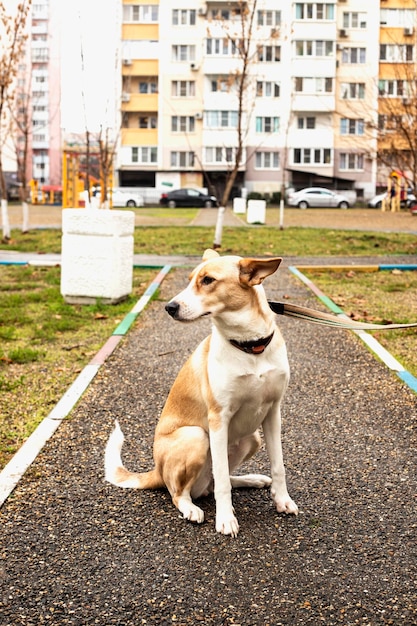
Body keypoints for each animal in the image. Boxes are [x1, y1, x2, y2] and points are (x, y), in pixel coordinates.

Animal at [105, 250, 300, 536]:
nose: (170, 307)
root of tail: (157, 471)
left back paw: (251, 479)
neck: (249, 347)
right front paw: (225, 519)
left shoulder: (273, 412)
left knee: (216, 480)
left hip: (253, 438)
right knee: (182, 492)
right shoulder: (218, 418)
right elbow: (222, 484)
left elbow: (278, 466)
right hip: (196, 436)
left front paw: (282, 500)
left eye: (208, 280)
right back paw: (191, 508)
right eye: (190, 280)